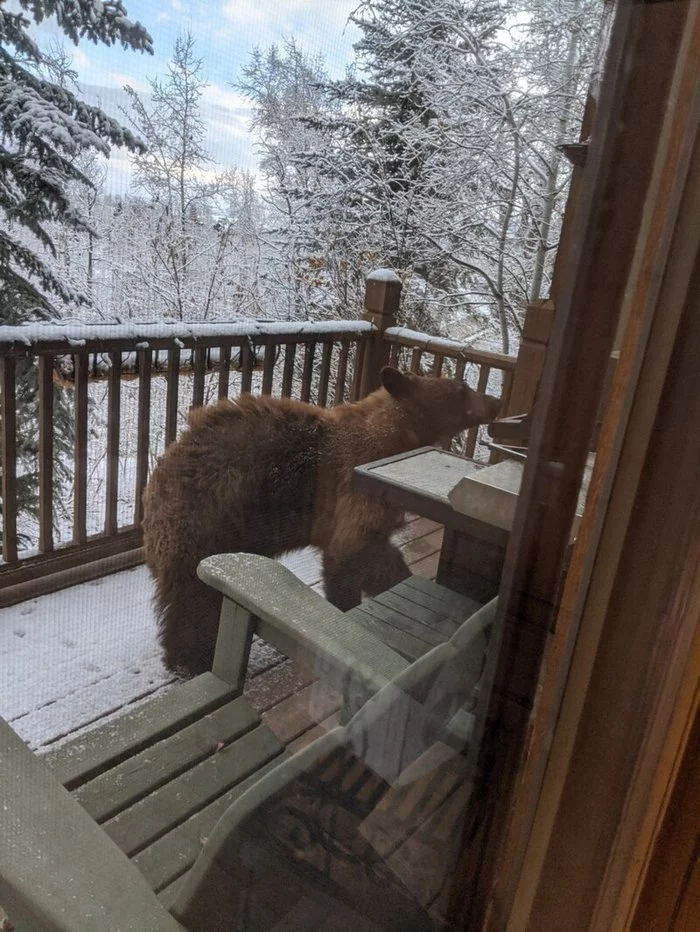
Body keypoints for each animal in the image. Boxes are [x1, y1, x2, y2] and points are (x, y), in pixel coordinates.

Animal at [142, 366, 500, 676]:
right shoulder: (354, 495)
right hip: (211, 520)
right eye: (462, 388)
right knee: (194, 597)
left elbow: (378, 557)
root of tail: (161, 472)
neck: (396, 438)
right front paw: (349, 607)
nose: (495, 401)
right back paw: (190, 658)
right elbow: (352, 555)